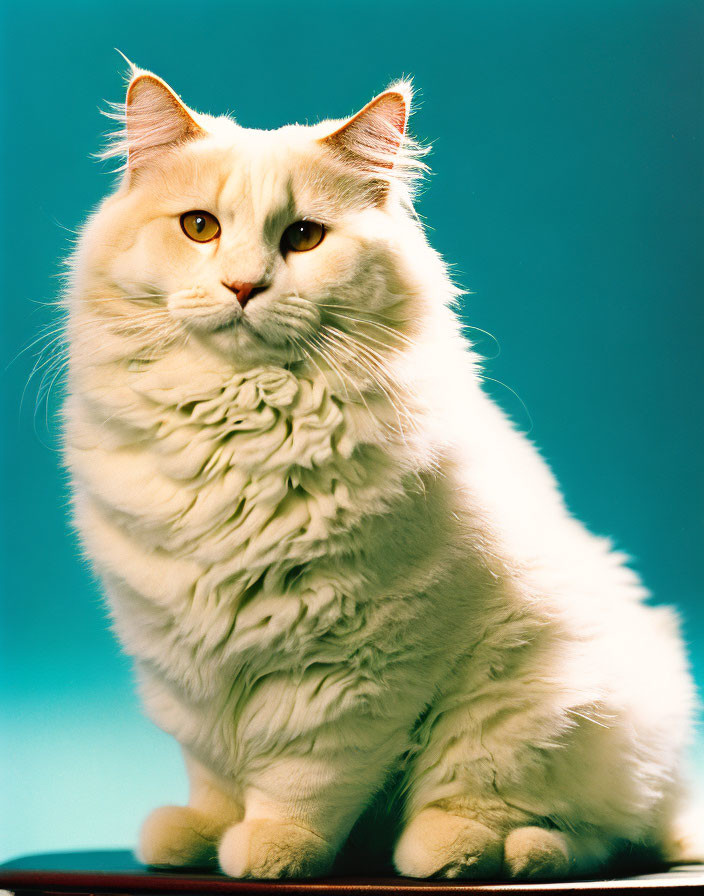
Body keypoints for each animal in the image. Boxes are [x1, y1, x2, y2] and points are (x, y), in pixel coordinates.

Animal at [63, 65, 700, 880]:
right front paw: (202, 835)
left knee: (567, 831)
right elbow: (214, 772)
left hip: (527, 704)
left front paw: (272, 849)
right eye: (199, 228)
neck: (237, 425)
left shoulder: (349, 672)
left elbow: (300, 779)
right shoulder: (186, 666)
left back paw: (462, 851)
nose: (243, 286)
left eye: (303, 238)